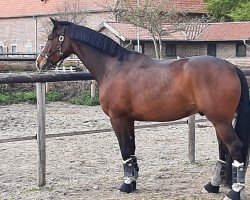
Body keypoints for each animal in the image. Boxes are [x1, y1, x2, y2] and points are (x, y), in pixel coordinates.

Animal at [35, 18, 250, 199]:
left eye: (50, 37)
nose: (39, 62)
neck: (114, 67)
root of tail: (232, 68)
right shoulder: (128, 120)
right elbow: (131, 149)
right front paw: (133, 182)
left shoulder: (117, 118)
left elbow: (124, 149)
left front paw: (126, 184)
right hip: (219, 120)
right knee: (223, 150)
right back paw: (212, 186)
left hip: (220, 120)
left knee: (235, 147)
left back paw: (234, 192)